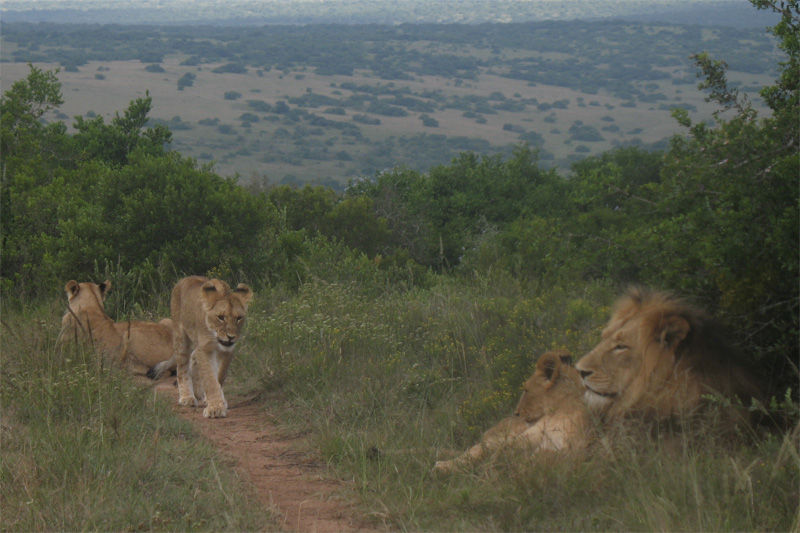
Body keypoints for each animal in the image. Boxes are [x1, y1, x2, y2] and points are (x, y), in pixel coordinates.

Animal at [170, 276, 252, 419]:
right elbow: (210, 378)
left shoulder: (228, 351)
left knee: (193, 356)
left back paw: (198, 392)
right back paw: (187, 397)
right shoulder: (204, 348)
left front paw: (214, 401)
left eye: (239, 318)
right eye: (221, 317)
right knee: (182, 368)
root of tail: (184, 279)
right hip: (180, 336)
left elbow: (219, 376)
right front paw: (215, 408)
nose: (231, 337)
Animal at [434, 350, 591, 473]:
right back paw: (441, 464)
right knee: (474, 451)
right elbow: (497, 453)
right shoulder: (527, 437)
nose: (516, 413)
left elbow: (529, 463)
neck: (563, 408)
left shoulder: (569, 450)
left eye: (526, 391)